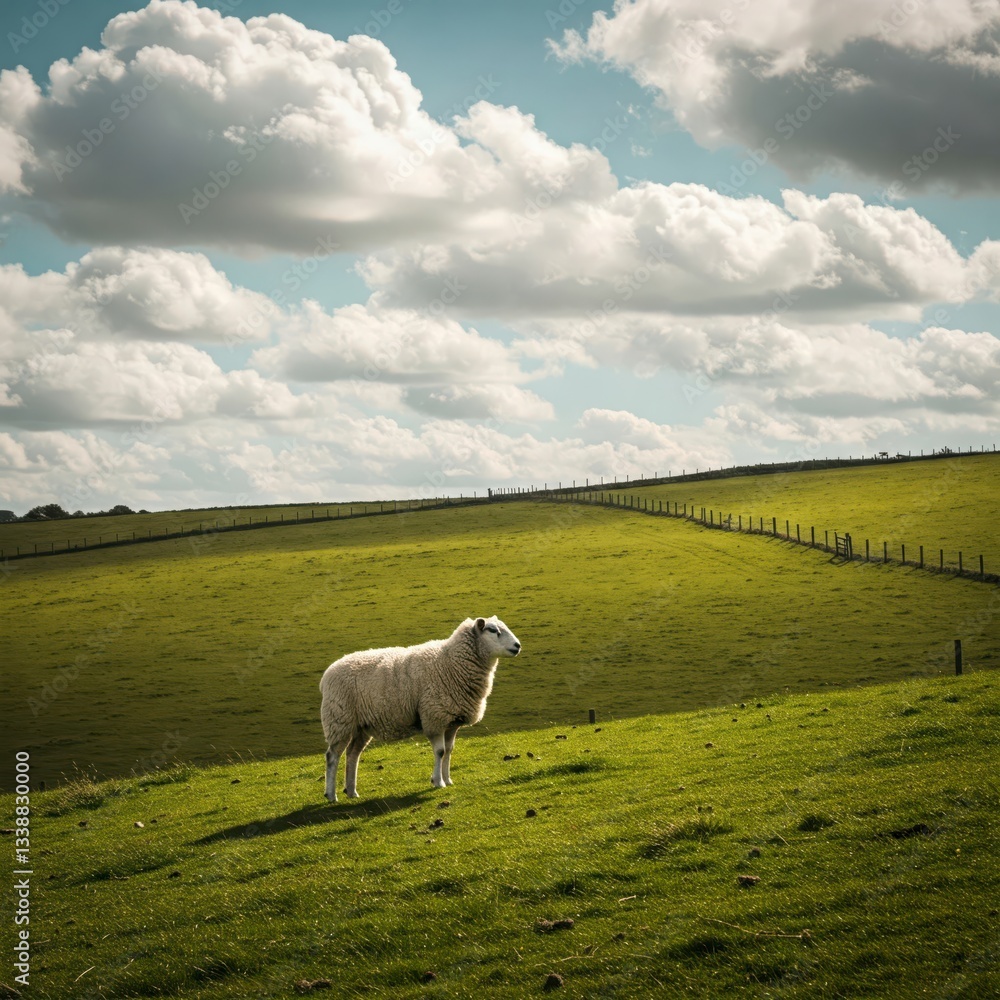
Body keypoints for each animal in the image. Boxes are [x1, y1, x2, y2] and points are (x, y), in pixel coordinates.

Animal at [319, 615, 521, 802]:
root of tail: (327, 675)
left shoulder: (451, 721)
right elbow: (440, 752)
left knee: (353, 754)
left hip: (361, 726)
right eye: (493, 630)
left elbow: (449, 750)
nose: (517, 646)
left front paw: (448, 780)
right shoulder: (434, 717)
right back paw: (331, 794)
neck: (450, 663)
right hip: (339, 719)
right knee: (332, 756)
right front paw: (438, 782)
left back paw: (352, 791)